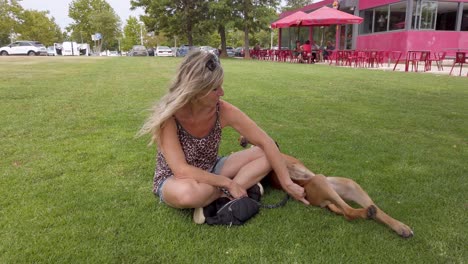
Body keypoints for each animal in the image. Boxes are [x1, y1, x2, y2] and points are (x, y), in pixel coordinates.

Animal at [239, 137, 414, 238]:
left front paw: (244, 141)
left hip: (345, 185)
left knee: (368, 209)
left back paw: (400, 227)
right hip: (322, 182)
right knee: (349, 212)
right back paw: (368, 213)